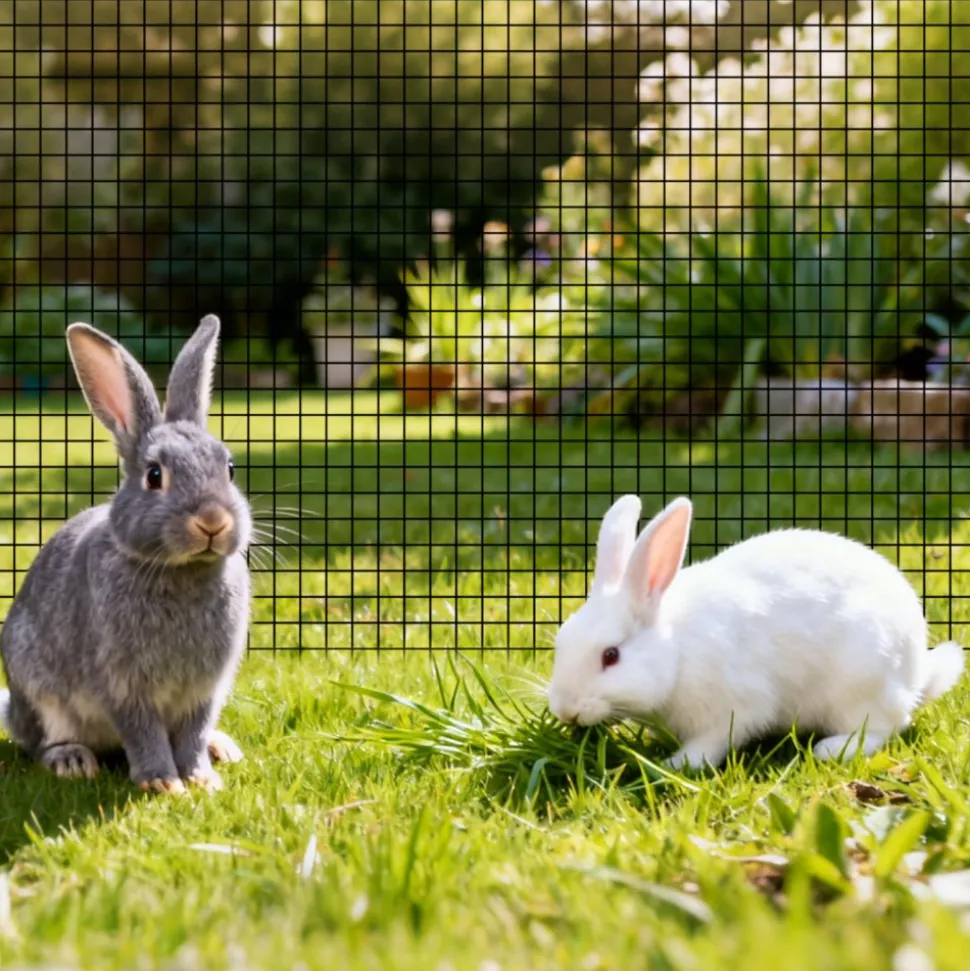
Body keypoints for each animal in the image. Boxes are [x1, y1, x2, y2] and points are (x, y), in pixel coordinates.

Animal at [0, 315, 251, 794]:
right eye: (154, 475)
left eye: (229, 469)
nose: (213, 520)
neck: (178, 570)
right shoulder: (122, 685)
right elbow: (143, 731)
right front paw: (163, 784)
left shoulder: (205, 689)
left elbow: (193, 732)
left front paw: (201, 778)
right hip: (37, 690)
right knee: (44, 740)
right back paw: (71, 760)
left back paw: (222, 747)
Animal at [547, 495, 966, 770]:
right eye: (561, 642)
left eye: (611, 655)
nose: (565, 710)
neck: (676, 651)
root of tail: (917, 674)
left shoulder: (736, 707)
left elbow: (716, 740)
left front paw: (679, 763)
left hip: (860, 684)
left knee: (885, 726)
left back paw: (832, 749)